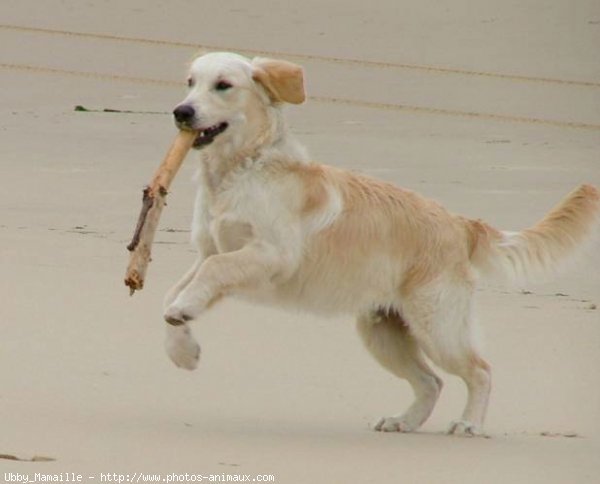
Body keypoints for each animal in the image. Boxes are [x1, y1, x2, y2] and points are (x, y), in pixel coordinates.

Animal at [162, 52, 596, 434]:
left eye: (223, 85)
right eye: (190, 82)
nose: (181, 112)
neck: (242, 169)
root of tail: (460, 223)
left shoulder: (272, 254)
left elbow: (211, 271)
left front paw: (184, 314)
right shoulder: (211, 249)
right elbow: (175, 291)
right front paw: (182, 346)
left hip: (437, 326)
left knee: (480, 371)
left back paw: (469, 424)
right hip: (384, 333)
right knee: (431, 382)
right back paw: (403, 422)